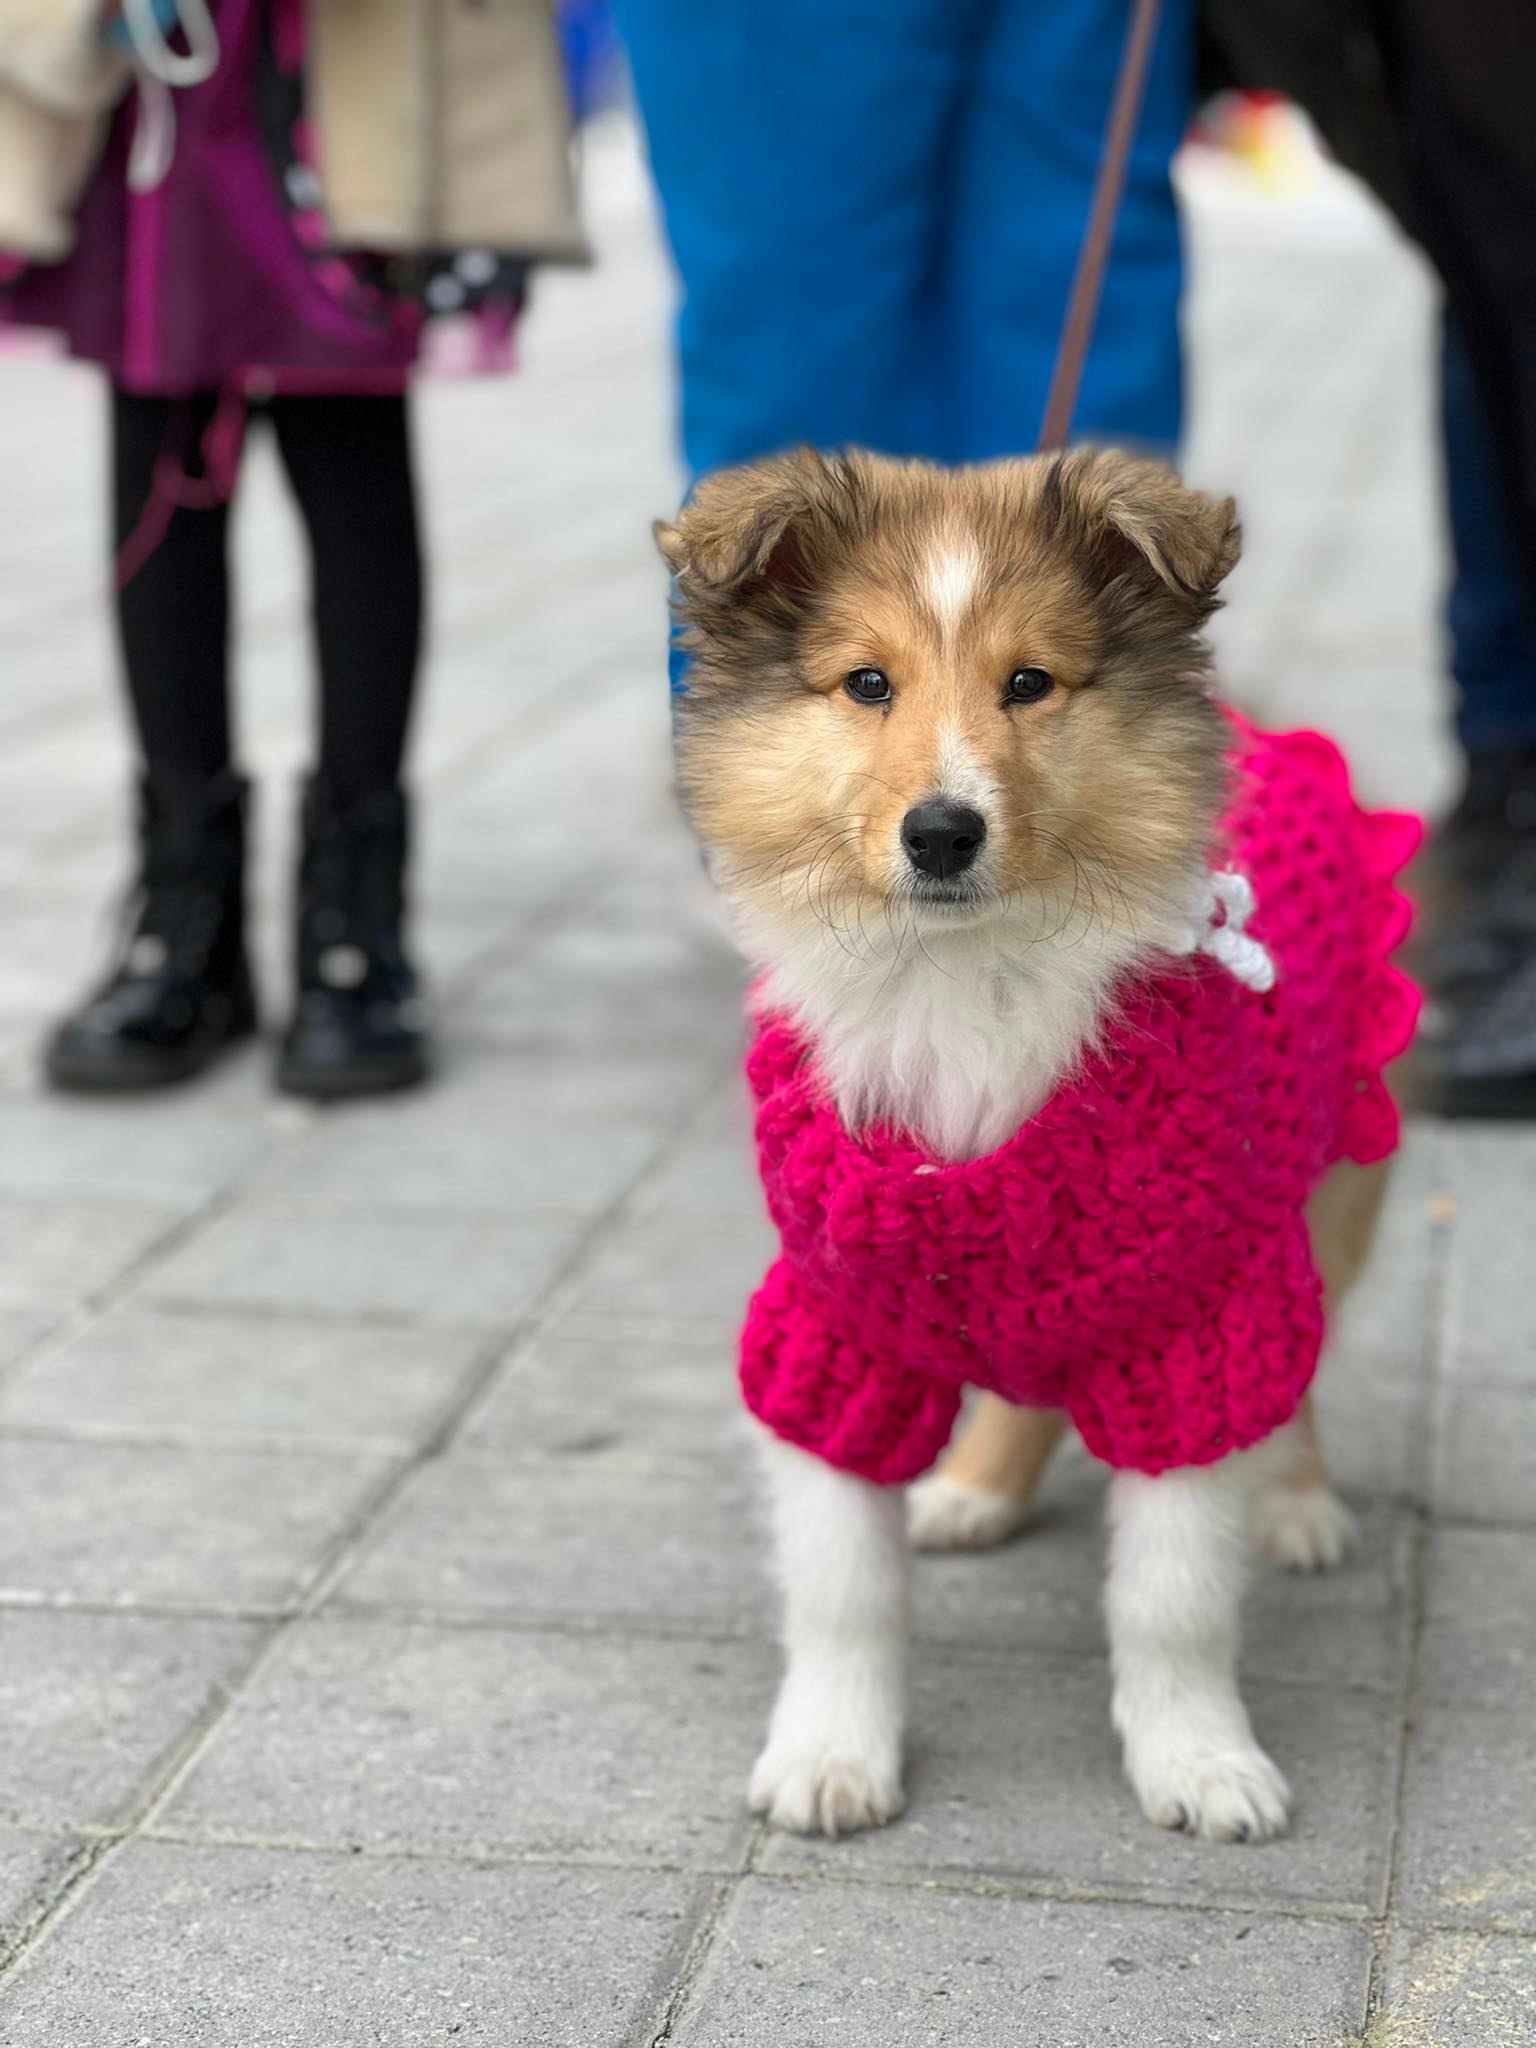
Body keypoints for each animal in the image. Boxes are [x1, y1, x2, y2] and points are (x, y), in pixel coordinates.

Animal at [655, 444, 1417, 1843]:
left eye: (1031, 683)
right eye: (867, 683)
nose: (942, 832)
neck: (967, 975)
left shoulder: (1195, 1313)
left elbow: (1173, 1594)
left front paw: (1201, 1763)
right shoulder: (834, 1322)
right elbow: (842, 1579)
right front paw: (830, 1756)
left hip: (1332, 1175)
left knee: (1303, 1365)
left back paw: (1297, 1503)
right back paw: (974, 1487)